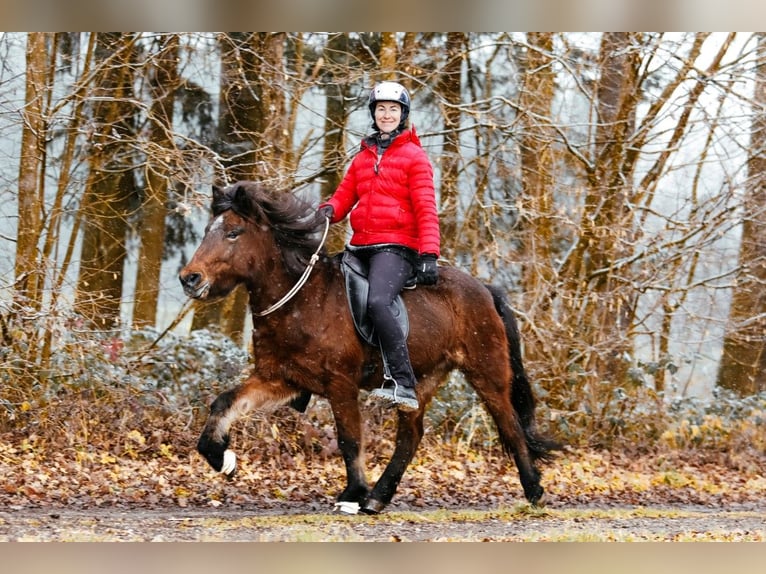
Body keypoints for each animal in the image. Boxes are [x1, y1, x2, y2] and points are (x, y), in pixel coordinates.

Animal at [179, 180, 560, 514]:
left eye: (233, 232)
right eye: (207, 230)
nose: (189, 279)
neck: (301, 300)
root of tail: (484, 289)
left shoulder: (340, 384)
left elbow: (349, 439)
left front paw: (352, 492)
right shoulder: (281, 379)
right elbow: (225, 402)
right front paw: (223, 459)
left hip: (486, 373)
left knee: (510, 425)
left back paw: (534, 491)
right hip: (421, 382)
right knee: (411, 437)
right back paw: (379, 497)